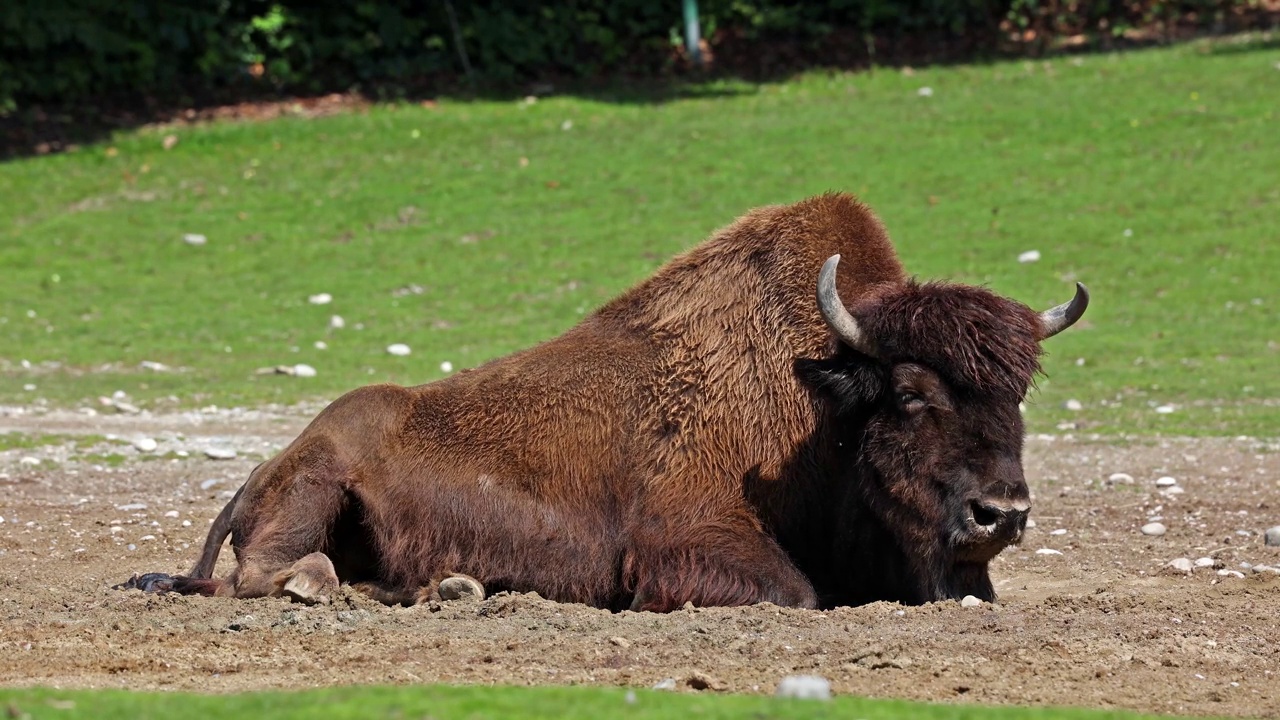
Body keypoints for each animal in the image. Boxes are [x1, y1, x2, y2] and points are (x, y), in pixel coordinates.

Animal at [115, 193, 1085, 607]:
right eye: (912, 394)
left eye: (1020, 397)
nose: (1002, 512)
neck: (821, 405)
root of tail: (260, 468)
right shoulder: (689, 539)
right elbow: (796, 594)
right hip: (317, 482)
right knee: (265, 572)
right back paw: (343, 589)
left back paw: (454, 585)